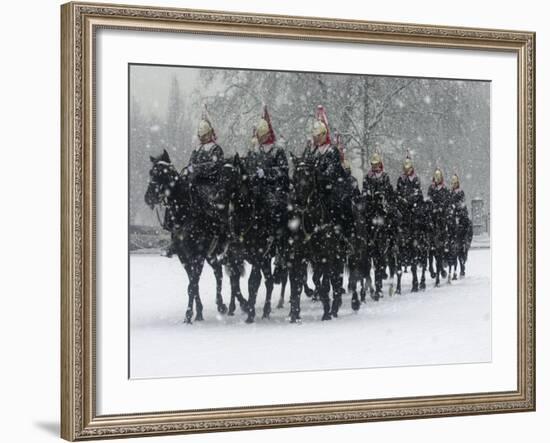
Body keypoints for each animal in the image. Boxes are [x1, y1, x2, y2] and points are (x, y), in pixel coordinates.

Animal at [144, 151, 231, 324]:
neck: (184, 214)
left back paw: (227, 305)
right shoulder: (184, 256)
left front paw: (189, 314)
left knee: (224, 274)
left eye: (163, 173)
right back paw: (221, 305)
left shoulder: (198, 255)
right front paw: (198, 312)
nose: (148, 197)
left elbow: (193, 284)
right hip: (210, 255)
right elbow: (192, 283)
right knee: (218, 272)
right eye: (151, 172)